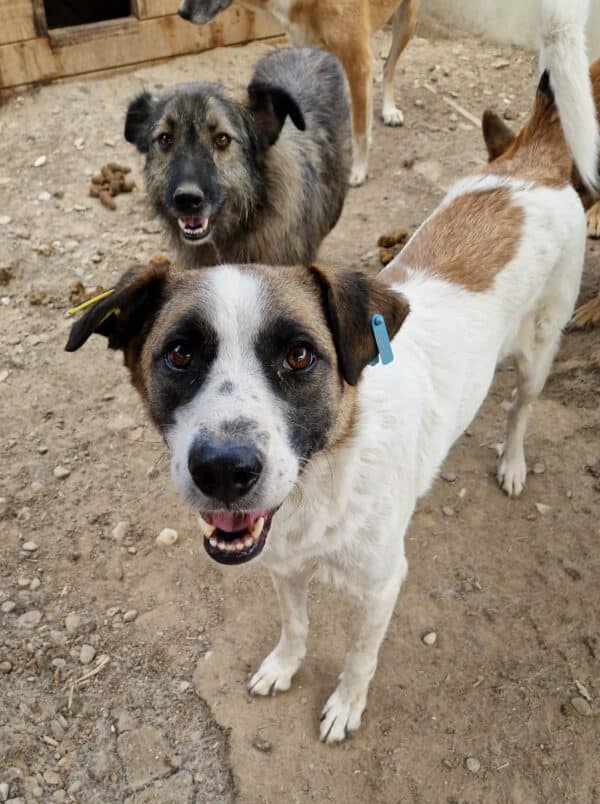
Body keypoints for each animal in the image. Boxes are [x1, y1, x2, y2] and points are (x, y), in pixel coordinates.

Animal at [177, 0, 418, 185]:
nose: (181, 12)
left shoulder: (358, 63)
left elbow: (359, 131)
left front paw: (358, 169)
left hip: (407, 21)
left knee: (388, 67)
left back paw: (389, 110)